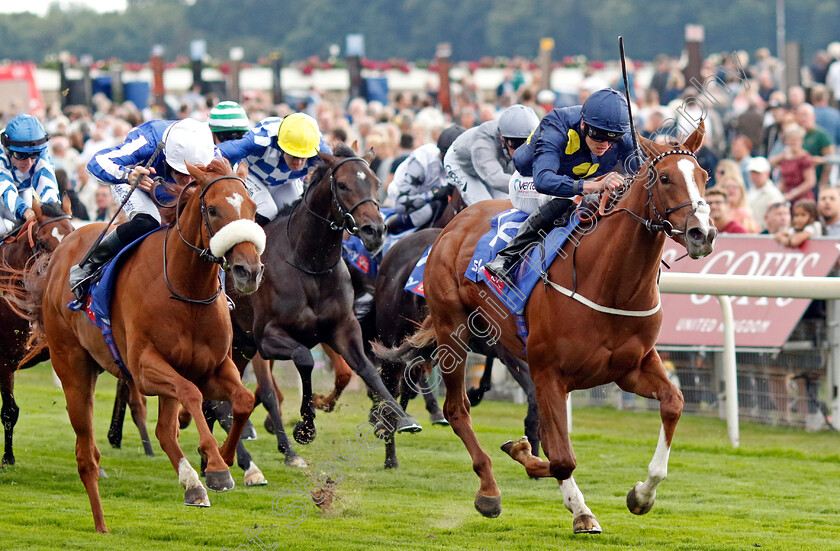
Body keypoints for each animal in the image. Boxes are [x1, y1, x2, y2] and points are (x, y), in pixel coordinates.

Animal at [19, 157, 264, 532]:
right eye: (212, 209)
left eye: (252, 208)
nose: (248, 271)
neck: (185, 289)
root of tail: (62, 252)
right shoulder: (145, 369)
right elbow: (192, 393)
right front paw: (217, 466)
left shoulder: (213, 367)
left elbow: (243, 400)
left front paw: (220, 458)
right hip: (74, 369)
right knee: (86, 455)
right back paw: (101, 525)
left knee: (164, 431)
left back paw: (193, 484)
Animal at [228, 143, 418, 466]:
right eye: (342, 185)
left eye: (376, 183)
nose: (375, 230)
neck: (308, 264)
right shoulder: (267, 337)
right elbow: (304, 359)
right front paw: (305, 427)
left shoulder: (342, 329)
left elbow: (366, 369)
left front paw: (401, 418)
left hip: (241, 347)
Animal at [378, 126, 716, 536]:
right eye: (665, 178)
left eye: (704, 177)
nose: (703, 233)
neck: (608, 280)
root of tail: (454, 225)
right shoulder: (547, 373)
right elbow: (562, 458)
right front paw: (579, 510)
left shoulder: (631, 368)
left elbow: (673, 403)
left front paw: (641, 494)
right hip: (451, 329)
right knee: (455, 408)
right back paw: (487, 488)